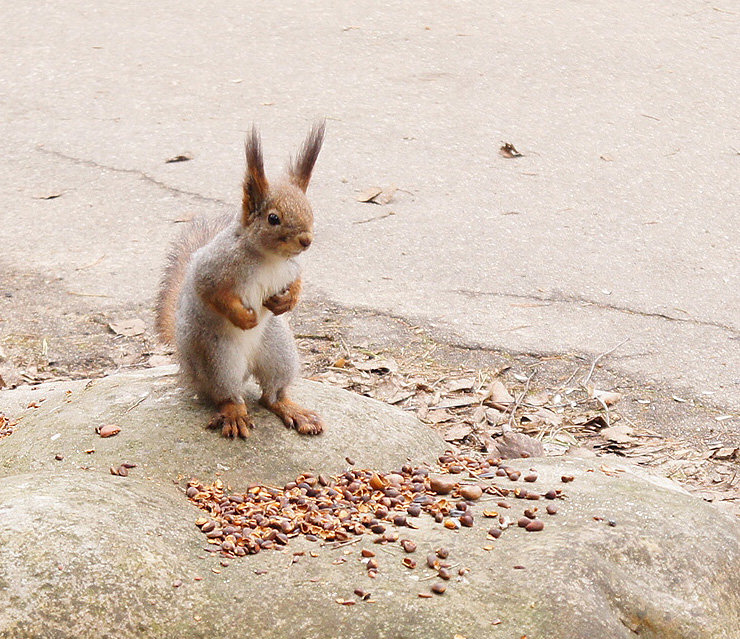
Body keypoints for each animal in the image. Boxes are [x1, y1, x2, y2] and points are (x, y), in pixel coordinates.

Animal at [155, 122, 326, 438]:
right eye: (273, 218)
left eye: (310, 209)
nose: (306, 240)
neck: (269, 258)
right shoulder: (212, 269)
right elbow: (211, 293)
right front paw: (245, 318)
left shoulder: (291, 268)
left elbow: (297, 283)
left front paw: (287, 301)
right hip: (218, 359)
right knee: (226, 395)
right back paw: (234, 412)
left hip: (279, 351)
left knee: (271, 394)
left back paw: (293, 410)